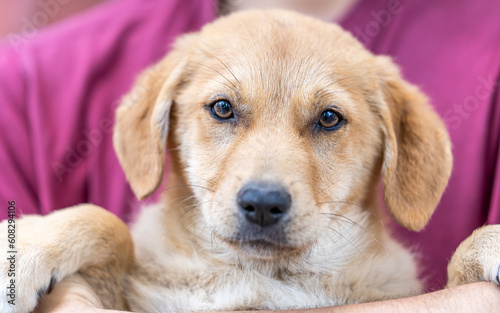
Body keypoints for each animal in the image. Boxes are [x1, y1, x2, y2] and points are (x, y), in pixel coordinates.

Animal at [1, 9, 498, 312]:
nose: (262, 204)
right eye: (223, 108)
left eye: (329, 118)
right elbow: (107, 224)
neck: (262, 276)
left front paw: (489, 243)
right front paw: (28, 249)